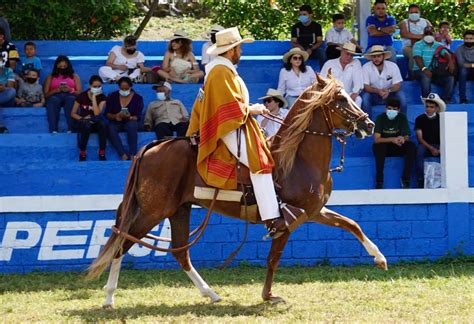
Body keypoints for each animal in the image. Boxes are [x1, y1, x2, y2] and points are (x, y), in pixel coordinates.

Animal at [87, 74, 386, 308]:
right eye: (341, 100)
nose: (368, 124)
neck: (296, 160)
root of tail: (153, 146)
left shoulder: (312, 211)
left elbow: (351, 224)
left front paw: (379, 258)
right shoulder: (288, 221)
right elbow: (273, 258)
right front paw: (268, 296)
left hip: (178, 209)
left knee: (180, 253)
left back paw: (211, 294)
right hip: (153, 211)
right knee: (122, 244)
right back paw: (109, 298)